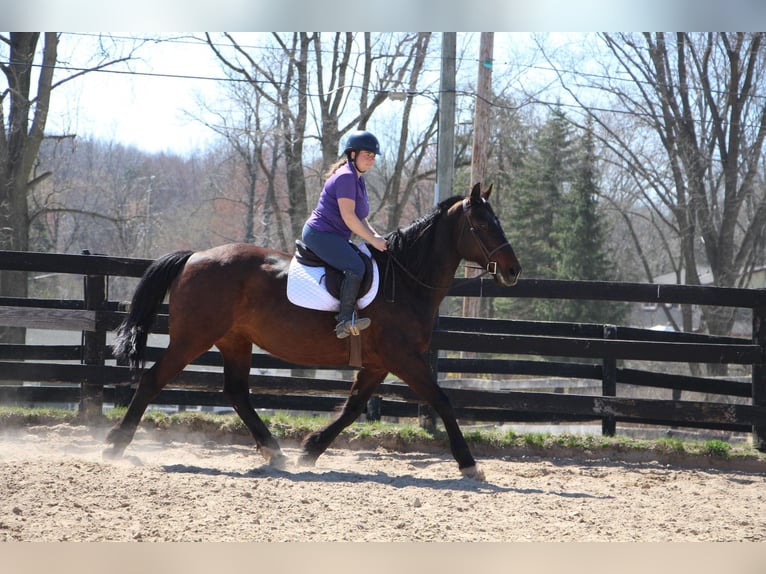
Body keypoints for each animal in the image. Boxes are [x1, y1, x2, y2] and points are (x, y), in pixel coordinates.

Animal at [106, 183, 520, 482]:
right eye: (484, 224)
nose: (513, 271)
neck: (404, 279)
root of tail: (194, 257)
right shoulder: (403, 358)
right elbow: (442, 400)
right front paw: (469, 464)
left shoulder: (378, 364)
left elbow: (352, 408)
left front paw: (311, 449)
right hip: (193, 338)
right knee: (153, 380)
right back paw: (114, 446)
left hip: (235, 341)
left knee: (237, 393)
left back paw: (276, 453)